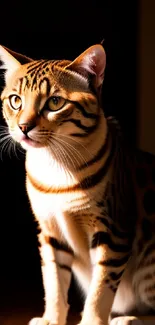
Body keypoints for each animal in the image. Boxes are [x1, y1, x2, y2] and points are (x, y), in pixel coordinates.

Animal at [0, 43, 155, 324]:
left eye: (55, 102)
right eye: (16, 100)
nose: (23, 127)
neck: (56, 170)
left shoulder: (113, 232)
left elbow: (100, 289)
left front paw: (92, 320)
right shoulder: (49, 232)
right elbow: (54, 283)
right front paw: (51, 318)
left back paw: (126, 319)